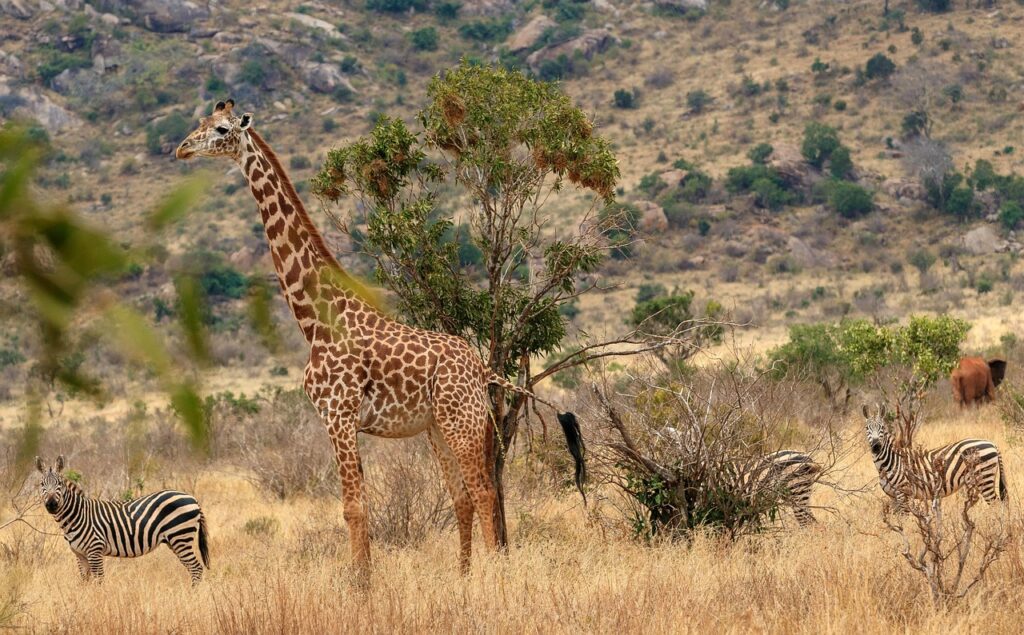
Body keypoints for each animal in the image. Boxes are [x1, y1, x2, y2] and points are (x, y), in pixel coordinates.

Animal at [36, 455, 210, 584]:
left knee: (196, 568)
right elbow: (85, 581)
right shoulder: (80, 555)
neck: (77, 515)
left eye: (59, 483)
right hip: (175, 540)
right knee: (193, 568)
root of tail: (192, 498)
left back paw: (193, 596)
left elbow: (99, 581)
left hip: (180, 537)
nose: (51, 504)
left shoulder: (95, 550)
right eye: (42, 484)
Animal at [175, 100, 585, 578]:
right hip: (437, 428)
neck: (315, 321)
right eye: (199, 123)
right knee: (463, 496)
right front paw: (365, 579)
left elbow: (354, 508)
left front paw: (360, 585)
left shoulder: (338, 415)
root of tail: (483, 367)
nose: (182, 149)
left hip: (461, 422)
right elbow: (361, 506)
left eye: (221, 129)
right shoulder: (341, 420)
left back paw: (490, 575)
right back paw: (463, 577)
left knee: (485, 491)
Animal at [862, 404, 1008, 509]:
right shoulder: (893, 497)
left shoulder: (904, 494)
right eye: (867, 428)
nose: (876, 446)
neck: (889, 462)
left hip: (984, 478)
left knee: (996, 505)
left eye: (882, 428)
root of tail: (992, 444)